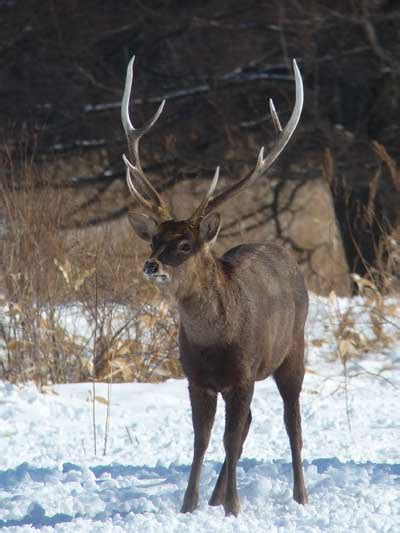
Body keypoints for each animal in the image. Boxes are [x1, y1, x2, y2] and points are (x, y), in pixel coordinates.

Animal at [120, 55, 308, 516]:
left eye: (185, 244)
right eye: (154, 240)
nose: (151, 265)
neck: (216, 342)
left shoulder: (242, 374)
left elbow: (228, 438)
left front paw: (234, 508)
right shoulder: (196, 378)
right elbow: (203, 440)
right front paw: (190, 505)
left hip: (293, 350)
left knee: (292, 422)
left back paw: (300, 496)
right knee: (247, 428)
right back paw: (216, 494)